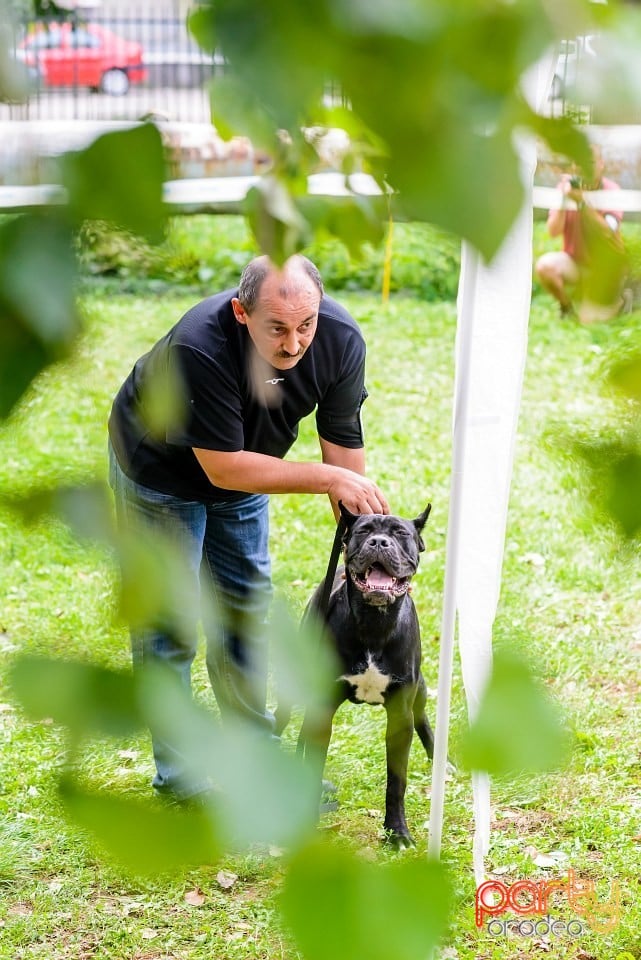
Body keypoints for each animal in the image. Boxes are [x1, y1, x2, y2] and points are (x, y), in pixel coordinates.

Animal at [290, 502, 436, 848]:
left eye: (400, 533)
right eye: (364, 531)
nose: (379, 542)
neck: (374, 622)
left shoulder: (400, 714)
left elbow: (396, 782)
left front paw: (397, 832)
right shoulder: (321, 709)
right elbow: (314, 762)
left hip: (421, 691)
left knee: (423, 717)